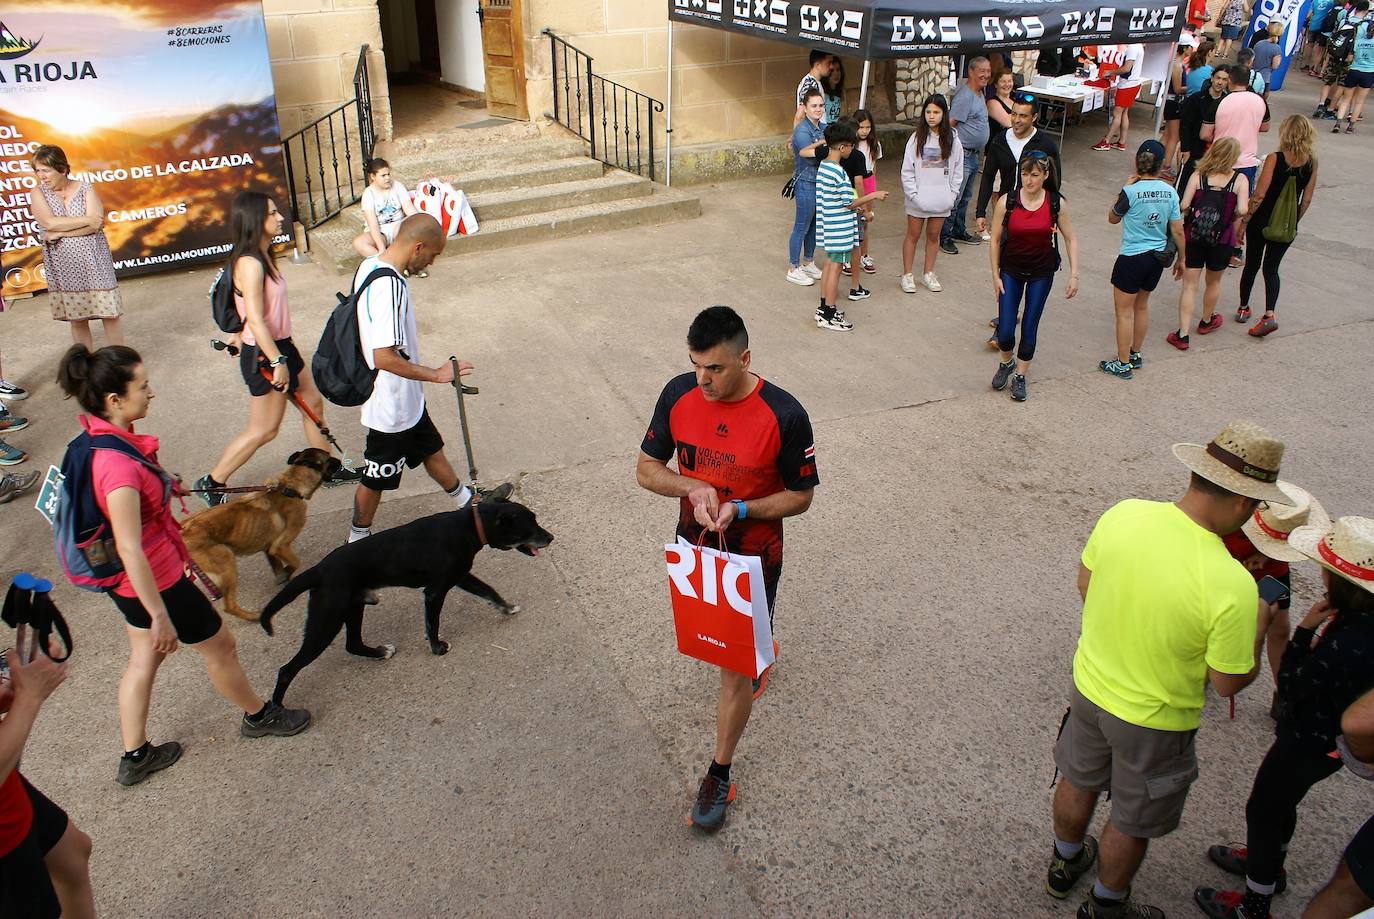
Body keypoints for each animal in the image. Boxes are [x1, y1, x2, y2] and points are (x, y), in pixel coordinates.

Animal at [179, 447, 338, 620]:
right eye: (329, 458)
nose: (340, 461)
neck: (289, 488)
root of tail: (184, 529)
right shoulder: (280, 546)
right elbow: (296, 562)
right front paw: (289, 573)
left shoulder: (269, 548)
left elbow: (278, 567)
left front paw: (283, 577)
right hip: (226, 562)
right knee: (229, 606)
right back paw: (252, 616)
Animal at [259, 494, 549, 703]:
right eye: (530, 528)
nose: (551, 537)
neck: (470, 526)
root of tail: (319, 569)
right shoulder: (435, 591)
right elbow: (433, 623)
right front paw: (437, 648)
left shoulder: (461, 576)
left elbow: (489, 591)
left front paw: (507, 607)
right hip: (326, 621)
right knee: (287, 670)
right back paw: (276, 709)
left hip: (352, 607)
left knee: (353, 644)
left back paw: (380, 652)